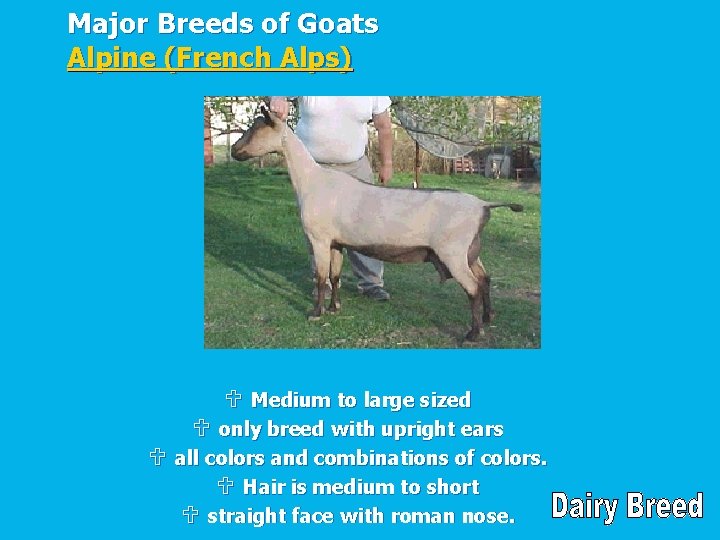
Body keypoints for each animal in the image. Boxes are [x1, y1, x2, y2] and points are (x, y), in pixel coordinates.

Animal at [231, 107, 523, 341]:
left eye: (256, 128)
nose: (234, 151)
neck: (312, 180)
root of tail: (483, 205)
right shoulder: (336, 242)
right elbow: (335, 276)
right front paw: (335, 308)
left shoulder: (320, 238)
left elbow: (321, 277)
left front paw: (316, 312)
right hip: (470, 251)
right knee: (485, 279)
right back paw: (488, 317)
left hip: (452, 252)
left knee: (472, 288)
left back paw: (473, 333)